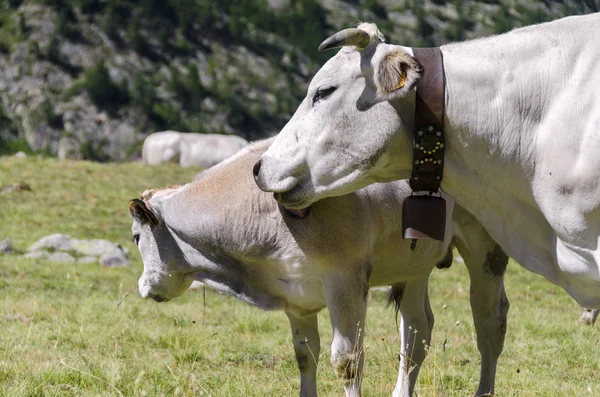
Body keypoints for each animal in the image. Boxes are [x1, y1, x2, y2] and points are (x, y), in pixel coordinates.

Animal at [129, 138, 508, 396]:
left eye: (135, 237)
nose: (143, 288)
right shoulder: (295, 296)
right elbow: (305, 355)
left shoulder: (346, 280)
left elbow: (346, 360)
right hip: (413, 265)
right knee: (416, 333)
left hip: (485, 247)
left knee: (490, 322)